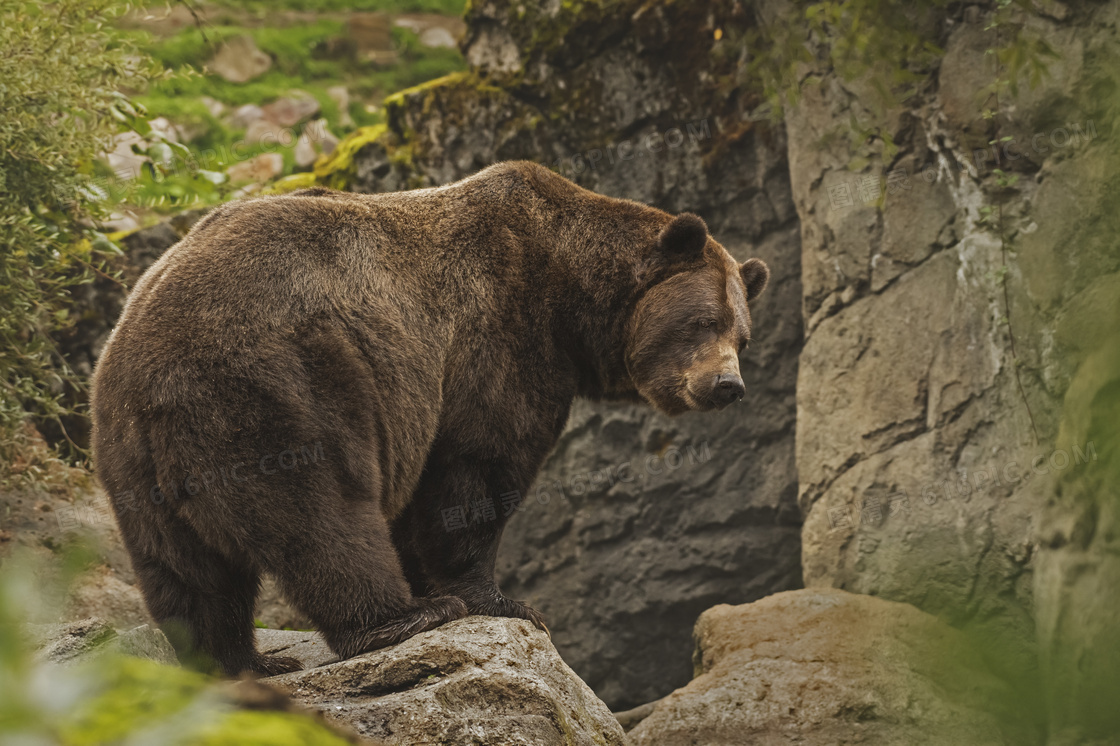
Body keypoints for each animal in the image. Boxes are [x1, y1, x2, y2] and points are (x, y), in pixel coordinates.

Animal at [89, 161, 770, 672]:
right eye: (703, 321)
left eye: (742, 334)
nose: (727, 386)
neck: (570, 295)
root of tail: (150, 375)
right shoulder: (496, 336)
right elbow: (476, 472)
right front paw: (501, 600)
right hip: (277, 384)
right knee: (322, 513)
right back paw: (399, 619)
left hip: (129, 453)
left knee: (185, 570)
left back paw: (240, 660)